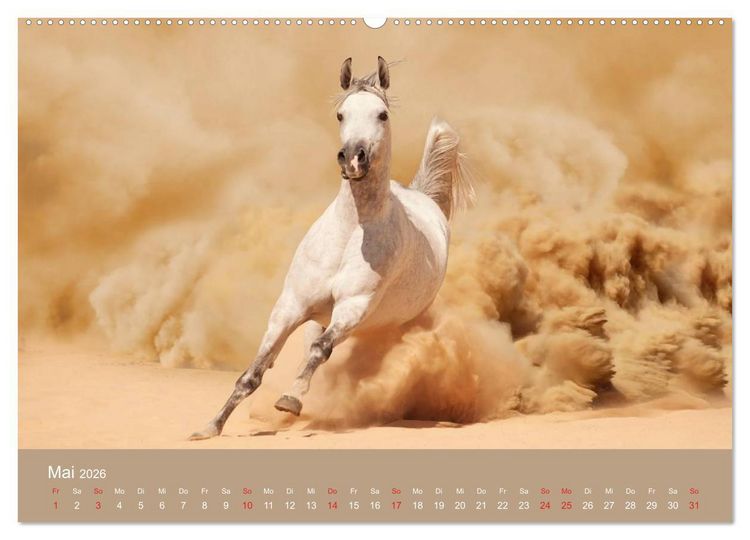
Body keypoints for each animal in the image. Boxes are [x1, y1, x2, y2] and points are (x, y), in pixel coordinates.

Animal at [190, 56, 475, 440]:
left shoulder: (352, 308)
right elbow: (255, 371)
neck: (350, 234)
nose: (353, 158)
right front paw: (210, 427)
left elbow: (320, 350)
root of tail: (424, 197)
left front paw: (290, 400)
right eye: (341, 114)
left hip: (392, 323)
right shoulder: (290, 306)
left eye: (382, 114)